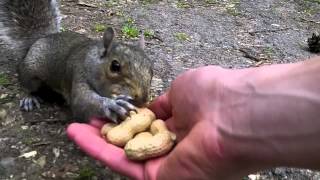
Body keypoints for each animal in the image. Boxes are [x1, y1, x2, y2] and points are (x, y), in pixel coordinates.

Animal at [0, 0, 154, 123]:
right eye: (114, 66)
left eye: (151, 68)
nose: (143, 100)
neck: (91, 62)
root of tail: (40, 39)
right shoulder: (78, 73)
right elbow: (82, 103)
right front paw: (112, 105)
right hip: (30, 71)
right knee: (28, 85)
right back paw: (29, 98)